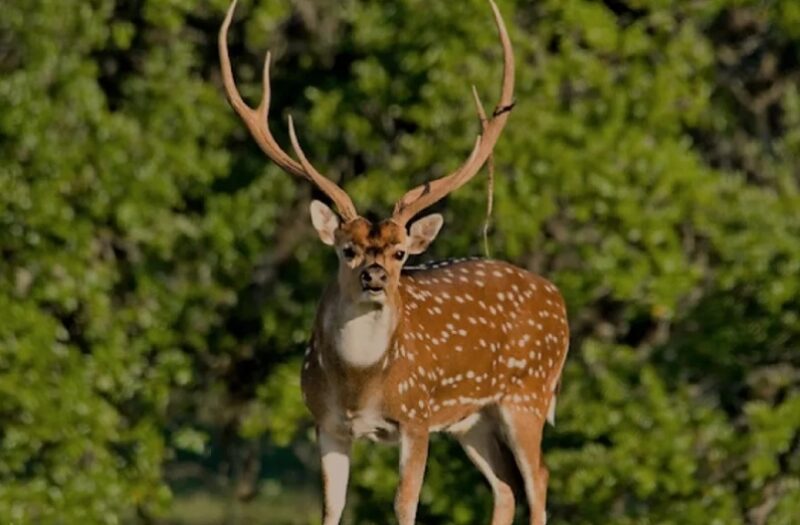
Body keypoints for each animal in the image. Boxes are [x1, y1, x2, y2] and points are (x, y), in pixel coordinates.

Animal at [219, 1, 569, 524]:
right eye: (347, 249)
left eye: (401, 252)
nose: (375, 276)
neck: (360, 386)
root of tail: (558, 297)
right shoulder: (325, 423)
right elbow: (331, 507)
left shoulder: (417, 416)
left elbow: (405, 505)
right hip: (472, 418)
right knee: (506, 485)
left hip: (529, 391)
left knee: (539, 479)